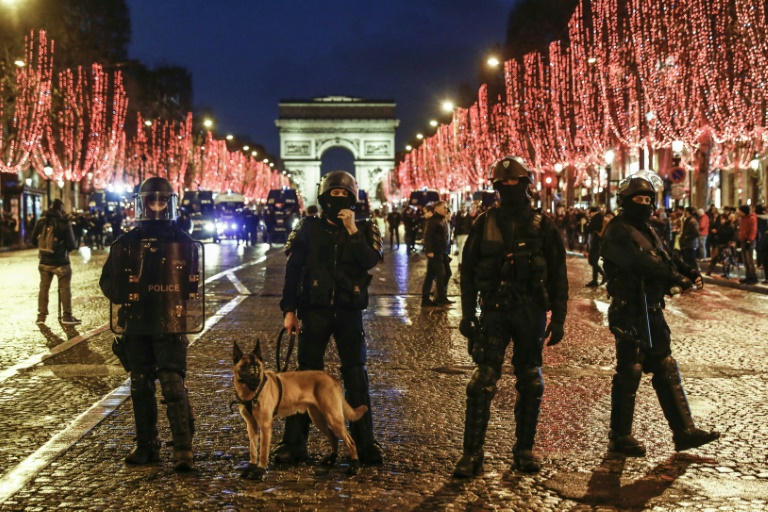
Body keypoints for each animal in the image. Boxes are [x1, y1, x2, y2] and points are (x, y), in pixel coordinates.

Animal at [232, 340, 368, 480]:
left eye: (257, 367)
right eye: (245, 366)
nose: (255, 380)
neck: (250, 393)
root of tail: (331, 377)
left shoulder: (265, 426)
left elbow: (263, 452)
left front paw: (259, 471)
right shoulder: (251, 426)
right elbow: (253, 451)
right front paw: (251, 468)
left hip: (333, 418)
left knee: (351, 442)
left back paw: (354, 466)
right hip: (319, 419)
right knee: (333, 437)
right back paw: (332, 459)